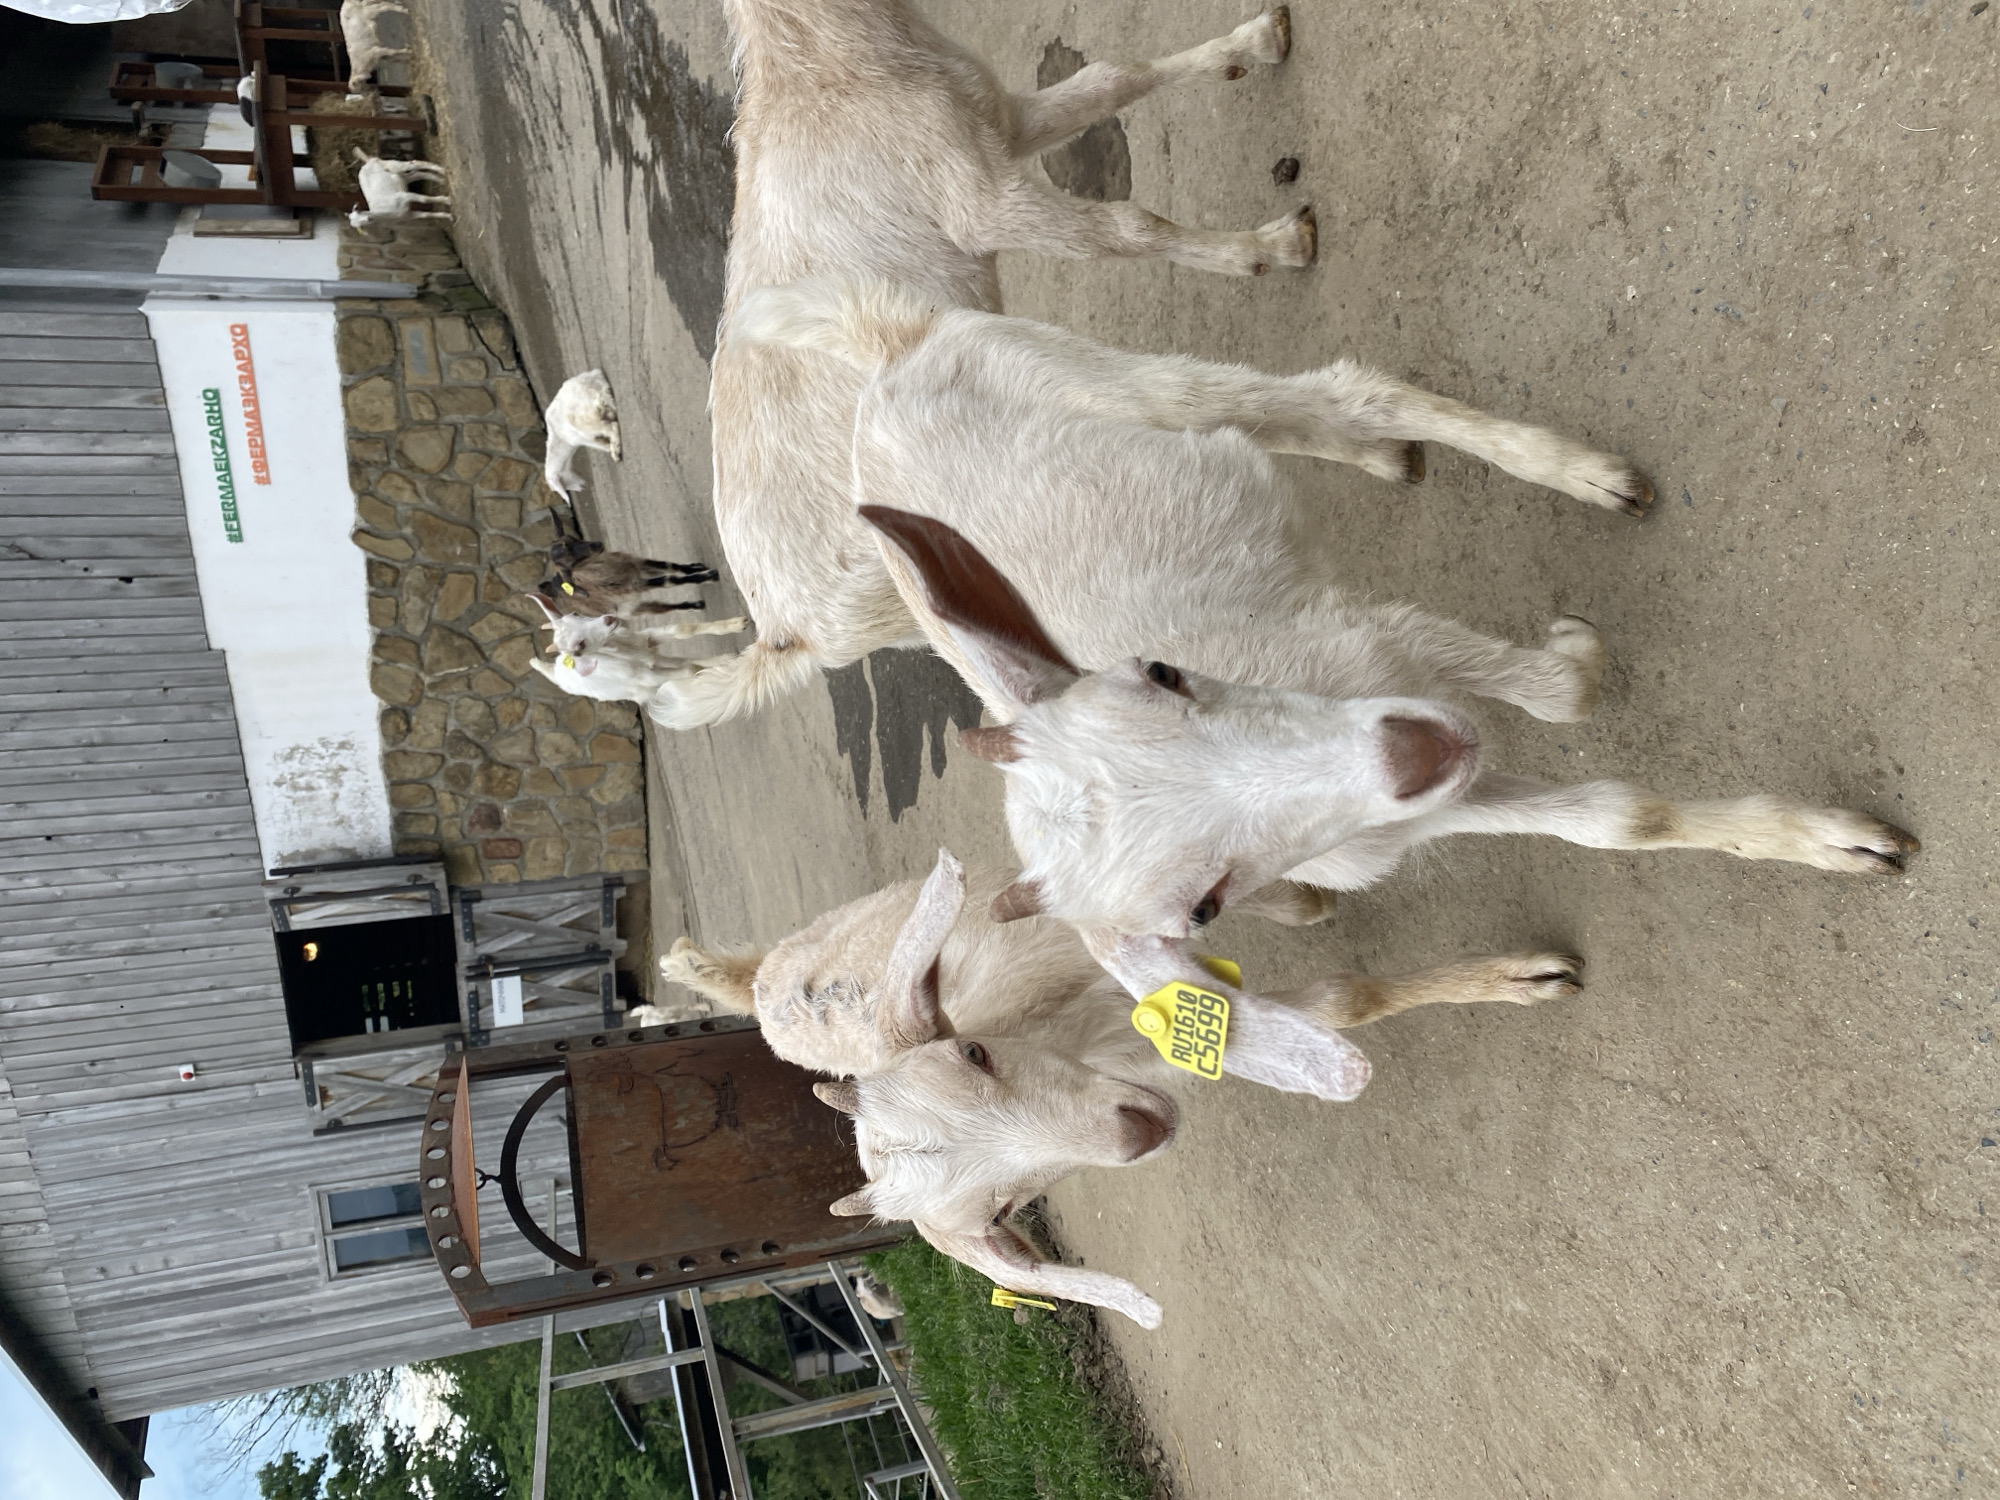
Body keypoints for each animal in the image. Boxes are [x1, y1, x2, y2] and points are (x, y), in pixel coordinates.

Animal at [542, 371, 622, 501]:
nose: (583, 487)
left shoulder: (581, 437)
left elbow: (599, 444)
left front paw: (610, 448)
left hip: (587, 421)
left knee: (610, 426)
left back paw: (616, 453)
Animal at [652, 0, 1321, 730]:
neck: (821, 69)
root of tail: (782, 636)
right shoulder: (983, 202)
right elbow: (1125, 227)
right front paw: (1273, 248)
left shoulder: (998, 121)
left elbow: (1114, 78)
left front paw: (1260, 40)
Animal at [663, 851, 1585, 1327]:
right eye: (1001, 1213)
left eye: (973, 1054)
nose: (1135, 1131)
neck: (1067, 1031)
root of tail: (755, 987)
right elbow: (1334, 1004)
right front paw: (1524, 980)